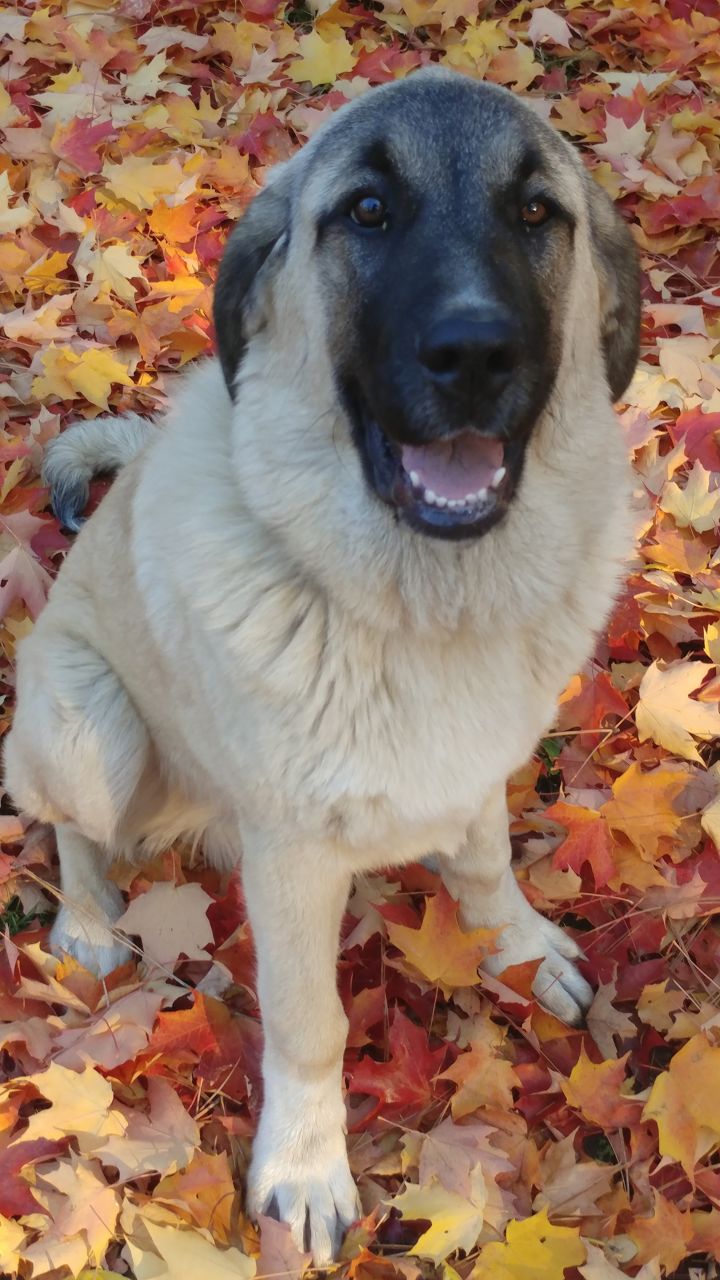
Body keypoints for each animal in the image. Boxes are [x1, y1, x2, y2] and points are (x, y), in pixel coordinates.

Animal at [4, 67, 632, 1259]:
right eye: (368, 212)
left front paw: (516, 945)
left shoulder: (478, 775)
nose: (474, 355)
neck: (419, 606)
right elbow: (312, 1022)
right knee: (73, 830)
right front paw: (303, 1162)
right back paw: (91, 923)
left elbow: (485, 864)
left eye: (538, 212)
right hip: (92, 725)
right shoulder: (292, 861)